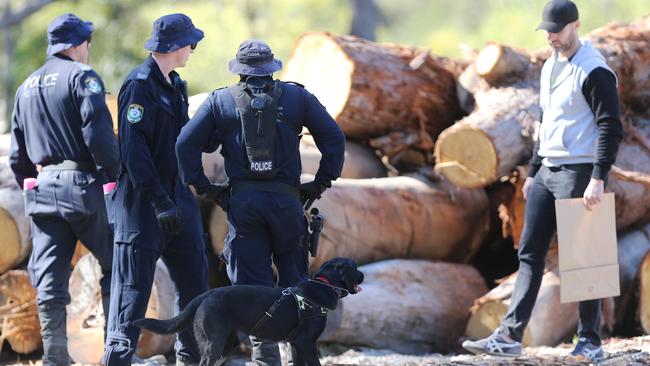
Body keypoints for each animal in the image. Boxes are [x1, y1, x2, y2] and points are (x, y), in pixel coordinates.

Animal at [134, 258, 362, 366]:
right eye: (355, 267)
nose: (362, 275)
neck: (324, 285)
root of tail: (206, 294)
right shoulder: (307, 342)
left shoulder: (296, 344)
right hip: (214, 342)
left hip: (227, 344)